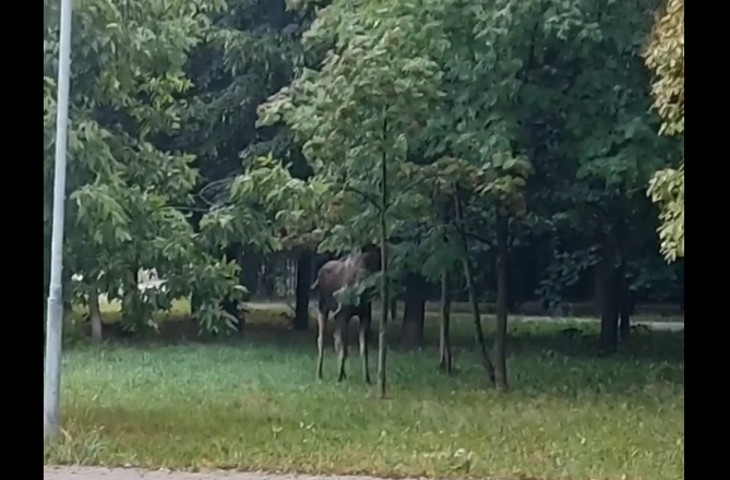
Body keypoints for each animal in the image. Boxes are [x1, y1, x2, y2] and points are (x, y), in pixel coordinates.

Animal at [310, 244, 382, 382]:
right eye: (364, 260)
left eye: (376, 261)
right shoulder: (343, 315)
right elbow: (344, 348)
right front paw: (339, 376)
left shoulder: (365, 317)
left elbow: (363, 349)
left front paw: (367, 378)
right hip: (323, 308)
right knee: (322, 339)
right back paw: (320, 374)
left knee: (336, 338)